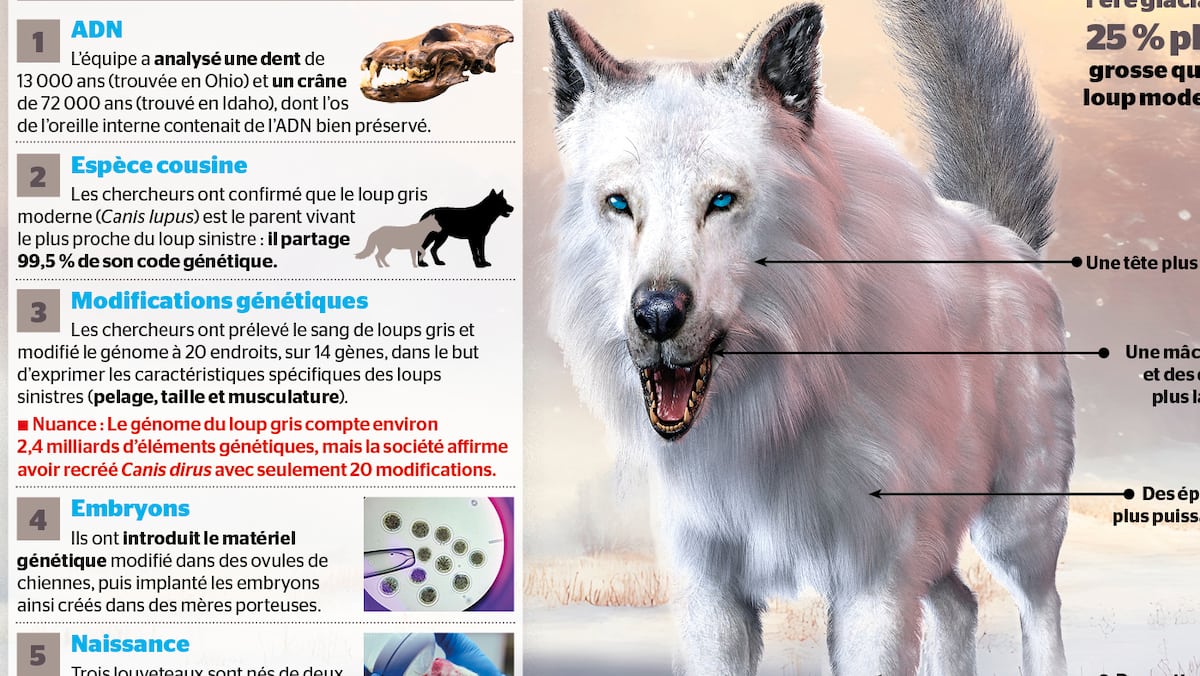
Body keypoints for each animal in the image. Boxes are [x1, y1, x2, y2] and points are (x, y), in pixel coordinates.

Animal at [547, 1, 1071, 675]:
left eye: (721, 200)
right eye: (619, 204)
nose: (657, 314)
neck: (774, 411)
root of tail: (1006, 239)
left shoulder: (871, 588)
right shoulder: (711, 597)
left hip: (1015, 527)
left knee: (1041, 606)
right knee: (959, 603)